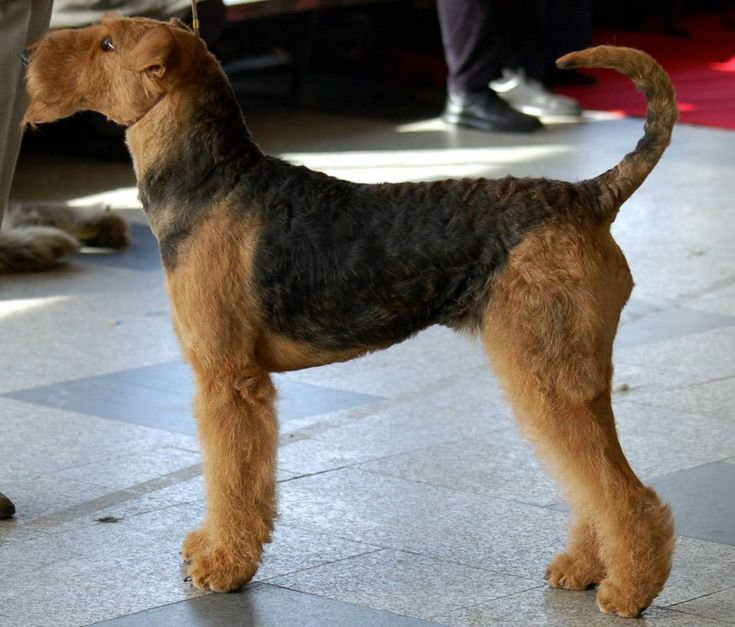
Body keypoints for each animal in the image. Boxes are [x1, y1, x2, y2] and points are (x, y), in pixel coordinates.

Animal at [23, 14, 680, 620]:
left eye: (108, 43)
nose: (27, 53)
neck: (213, 180)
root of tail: (590, 196)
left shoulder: (229, 379)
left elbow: (232, 475)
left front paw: (222, 565)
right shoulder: (228, 378)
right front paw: (211, 549)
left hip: (545, 370)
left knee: (624, 493)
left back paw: (627, 592)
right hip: (570, 372)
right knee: (593, 478)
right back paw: (585, 568)